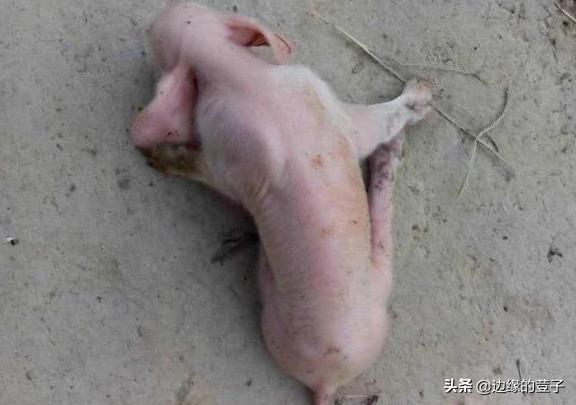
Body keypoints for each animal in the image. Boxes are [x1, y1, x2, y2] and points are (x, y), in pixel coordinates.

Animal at [130, 2, 432, 404]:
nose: (166, 8)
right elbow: (378, 121)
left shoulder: (228, 158)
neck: (238, 77)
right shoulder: (336, 116)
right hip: (373, 283)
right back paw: (393, 152)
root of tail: (327, 381)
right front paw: (424, 93)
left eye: (154, 39)